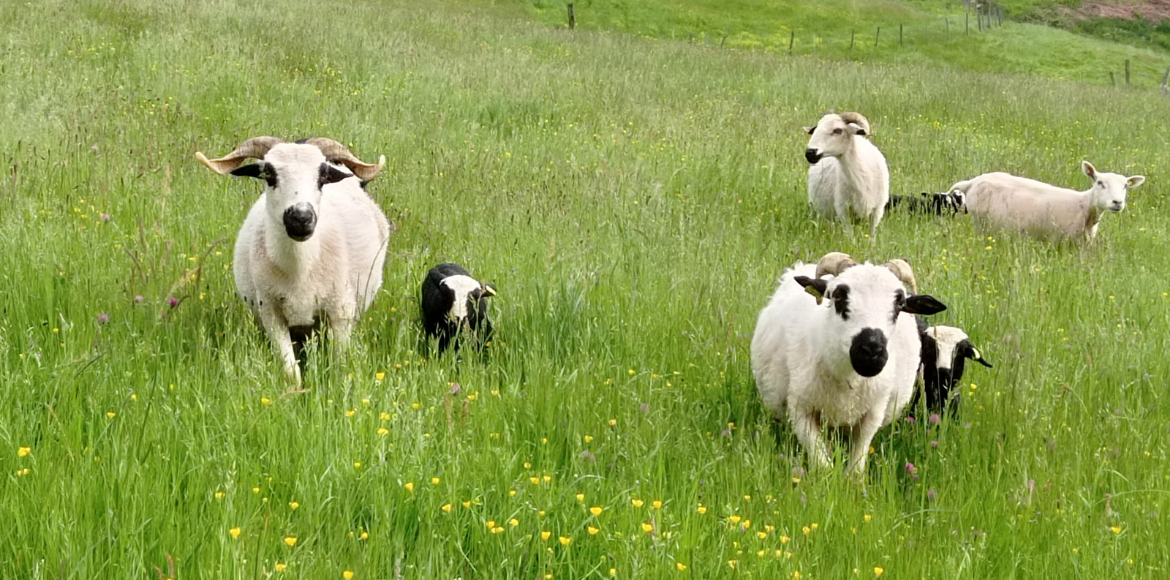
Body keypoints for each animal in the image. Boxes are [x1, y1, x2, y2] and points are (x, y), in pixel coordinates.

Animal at [194, 137, 390, 388]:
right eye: (268, 173)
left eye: (322, 175)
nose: (301, 218)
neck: (300, 269)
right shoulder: (271, 313)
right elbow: (291, 371)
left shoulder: (340, 313)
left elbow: (338, 365)